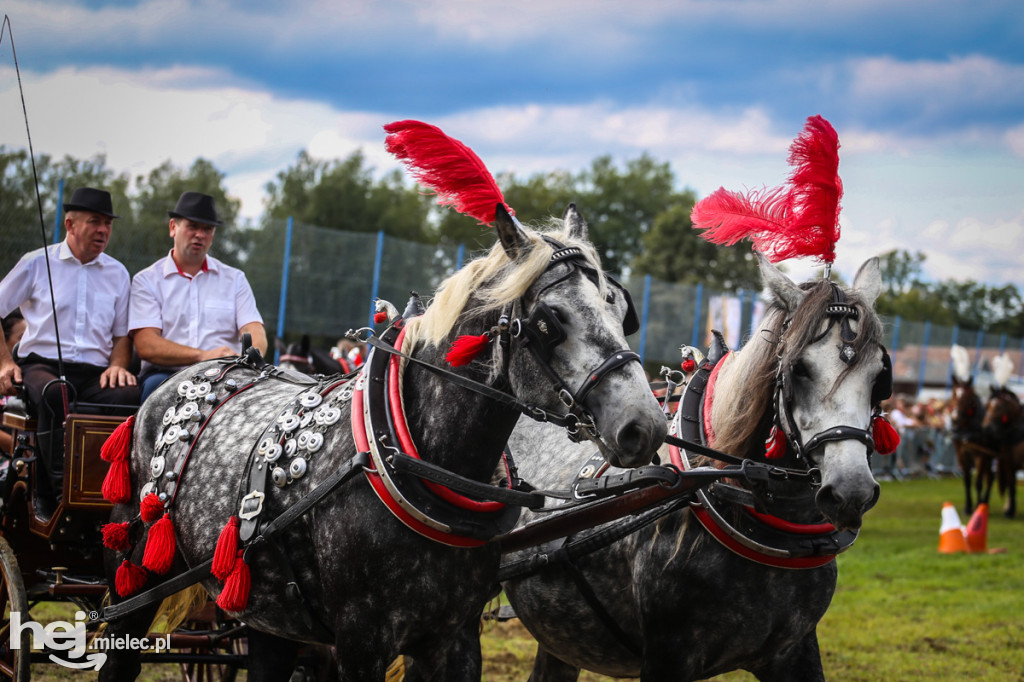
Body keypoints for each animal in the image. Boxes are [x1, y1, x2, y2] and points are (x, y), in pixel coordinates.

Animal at [101, 205, 663, 679]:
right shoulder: (360, 641)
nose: (646, 425)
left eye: (618, 309)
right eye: (549, 321)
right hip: (139, 571)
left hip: (267, 605)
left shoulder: (456, 637)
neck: (412, 462)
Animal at [946, 342, 995, 512]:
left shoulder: (980, 454)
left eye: (968, 398)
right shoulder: (961, 452)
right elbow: (967, 479)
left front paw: (978, 505)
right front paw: (968, 506)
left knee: (990, 477)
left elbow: (978, 481)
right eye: (954, 394)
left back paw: (985, 501)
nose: (955, 417)